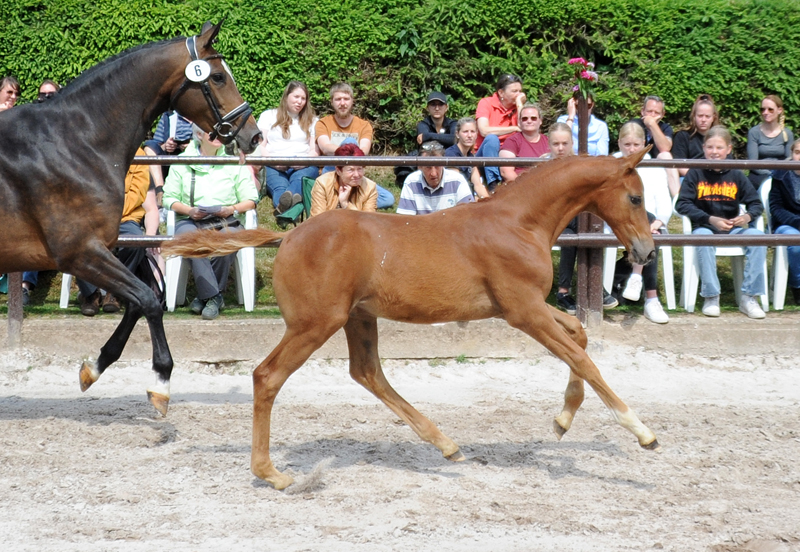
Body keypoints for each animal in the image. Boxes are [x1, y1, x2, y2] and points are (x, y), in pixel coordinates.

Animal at [0, 23, 262, 416]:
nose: (253, 135)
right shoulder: (80, 252)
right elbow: (150, 300)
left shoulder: (103, 251)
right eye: (217, 77)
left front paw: (93, 368)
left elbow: (140, 300)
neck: (73, 143)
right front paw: (161, 382)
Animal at [166, 149, 660, 490]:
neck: (518, 223)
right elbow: (584, 359)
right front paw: (642, 432)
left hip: (357, 318)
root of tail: (286, 236)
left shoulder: (529, 307)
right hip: (314, 324)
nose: (646, 251)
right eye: (635, 197)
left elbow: (579, 336)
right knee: (268, 376)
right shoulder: (523, 311)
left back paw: (446, 444)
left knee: (367, 372)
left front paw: (562, 421)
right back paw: (271, 473)